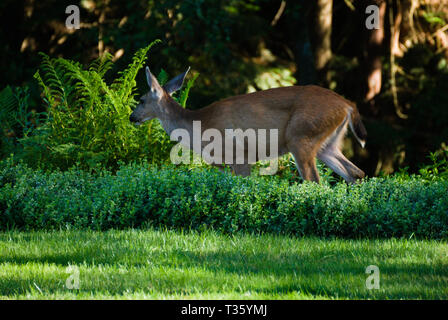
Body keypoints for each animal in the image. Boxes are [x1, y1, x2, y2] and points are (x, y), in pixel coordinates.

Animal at [130, 66, 368, 184]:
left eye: (141, 100)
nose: (132, 117)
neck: (199, 126)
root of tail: (347, 105)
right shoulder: (224, 165)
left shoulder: (240, 157)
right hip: (327, 143)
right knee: (355, 172)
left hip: (301, 137)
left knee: (314, 180)